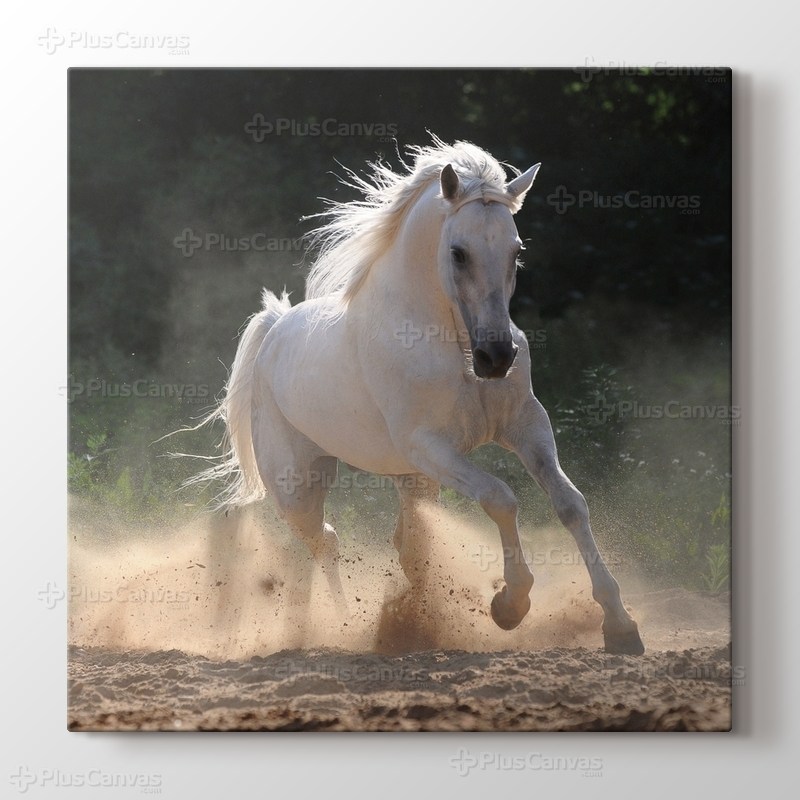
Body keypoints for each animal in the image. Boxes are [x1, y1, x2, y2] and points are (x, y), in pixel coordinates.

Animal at [192, 137, 644, 655]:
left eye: (516, 251)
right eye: (458, 252)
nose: (497, 357)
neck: (453, 345)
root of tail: (274, 327)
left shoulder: (526, 425)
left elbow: (570, 504)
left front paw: (620, 625)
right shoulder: (429, 447)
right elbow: (501, 497)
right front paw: (510, 605)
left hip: (408, 481)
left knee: (390, 546)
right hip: (298, 484)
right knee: (321, 541)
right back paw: (332, 628)